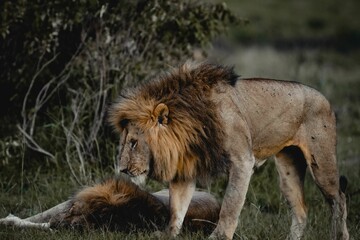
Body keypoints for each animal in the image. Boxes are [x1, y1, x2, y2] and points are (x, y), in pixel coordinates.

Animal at [109, 62, 348, 240]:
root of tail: (325, 98)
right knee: (301, 211)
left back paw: (340, 235)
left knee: (340, 198)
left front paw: (219, 236)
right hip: (288, 168)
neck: (192, 122)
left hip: (321, 161)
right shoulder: (185, 167)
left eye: (133, 142)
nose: (122, 169)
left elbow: (230, 204)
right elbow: (177, 206)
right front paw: (168, 234)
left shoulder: (242, 161)